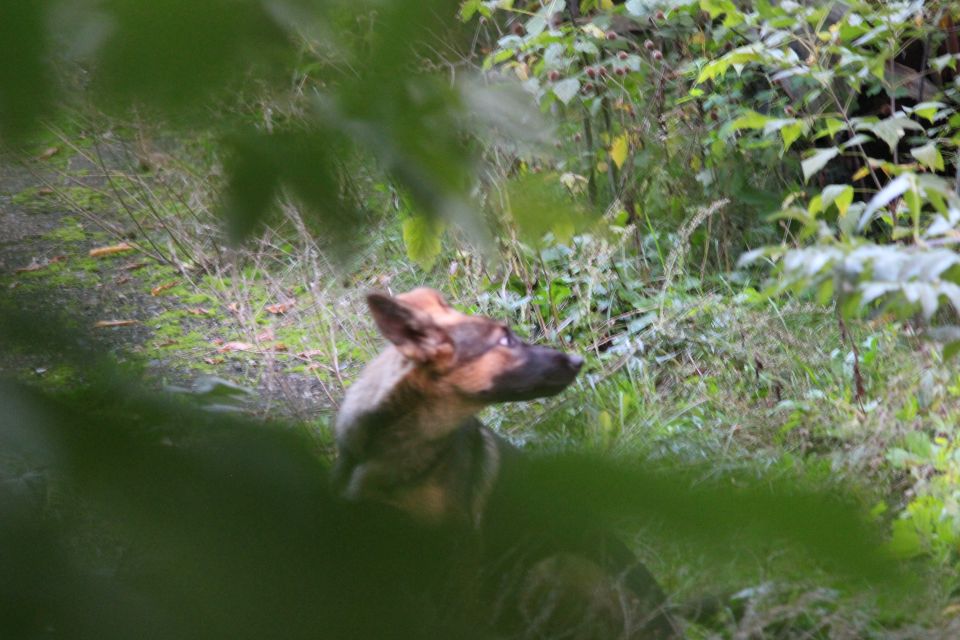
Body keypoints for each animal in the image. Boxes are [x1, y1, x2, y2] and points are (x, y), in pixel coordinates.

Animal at [334, 290, 680, 640]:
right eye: (504, 340)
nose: (578, 361)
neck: (398, 445)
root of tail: (669, 624)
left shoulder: (460, 550)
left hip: (548, 567)